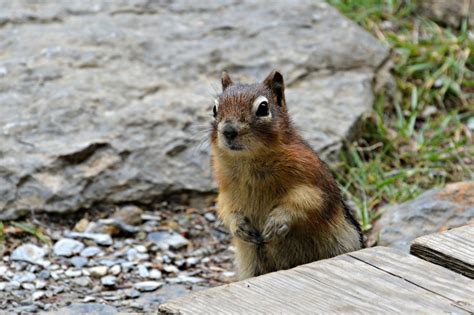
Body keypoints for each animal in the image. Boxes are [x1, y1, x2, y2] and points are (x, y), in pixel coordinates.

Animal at [211, 70, 362, 280]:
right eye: (215, 108)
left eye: (263, 108)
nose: (228, 131)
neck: (249, 160)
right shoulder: (225, 191)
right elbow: (225, 208)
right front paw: (239, 227)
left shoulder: (314, 181)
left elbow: (305, 202)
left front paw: (276, 223)